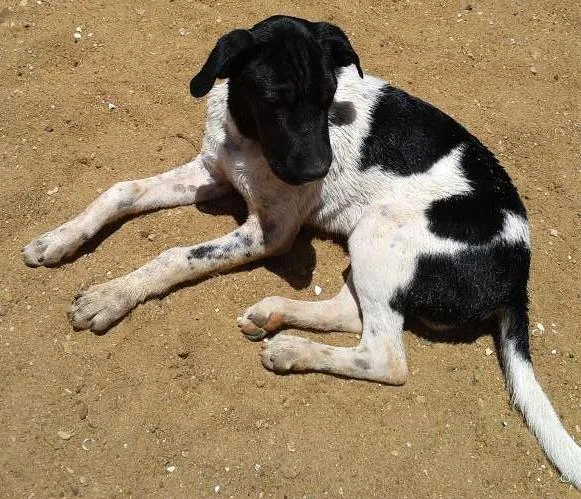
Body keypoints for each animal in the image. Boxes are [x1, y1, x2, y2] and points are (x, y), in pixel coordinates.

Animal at [24, 15, 580, 488]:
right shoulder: (211, 173)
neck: (247, 138)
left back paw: (291, 349)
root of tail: (518, 275)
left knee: (385, 357)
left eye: (330, 97)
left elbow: (175, 255)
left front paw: (109, 297)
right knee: (352, 315)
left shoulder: (269, 232)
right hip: (372, 247)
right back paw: (274, 316)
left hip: (379, 231)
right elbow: (121, 191)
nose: (318, 171)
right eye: (276, 99)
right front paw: (59, 239)